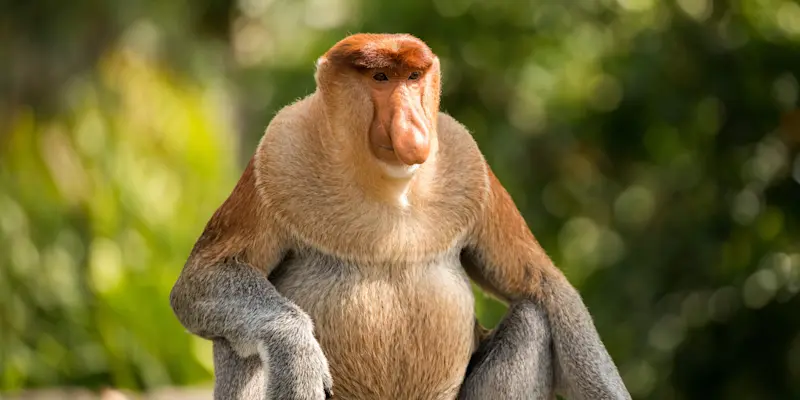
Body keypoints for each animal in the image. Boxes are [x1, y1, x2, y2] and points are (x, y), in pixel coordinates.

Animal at [169, 33, 631, 400]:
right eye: (380, 79)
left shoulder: (471, 166)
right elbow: (202, 278)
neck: (389, 187)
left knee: (533, 320)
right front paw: (295, 354)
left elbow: (543, 286)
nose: (413, 126)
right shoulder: (275, 158)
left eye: (413, 77)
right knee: (237, 339)